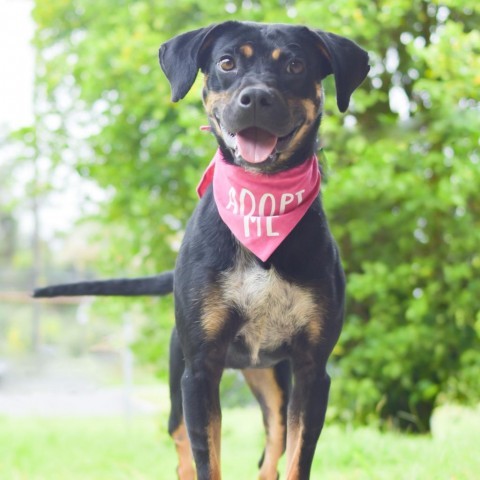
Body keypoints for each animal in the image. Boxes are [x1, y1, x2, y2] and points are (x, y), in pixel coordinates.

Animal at [35, 21, 370, 480]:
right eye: (227, 63)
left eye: (296, 65)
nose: (256, 97)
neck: (260, 204)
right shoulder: (199, 370)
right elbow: (205, 457)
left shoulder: (312, 369)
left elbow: (297, 458)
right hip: (181, 379)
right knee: (181, 447)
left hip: (272, 378)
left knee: (274, 443)